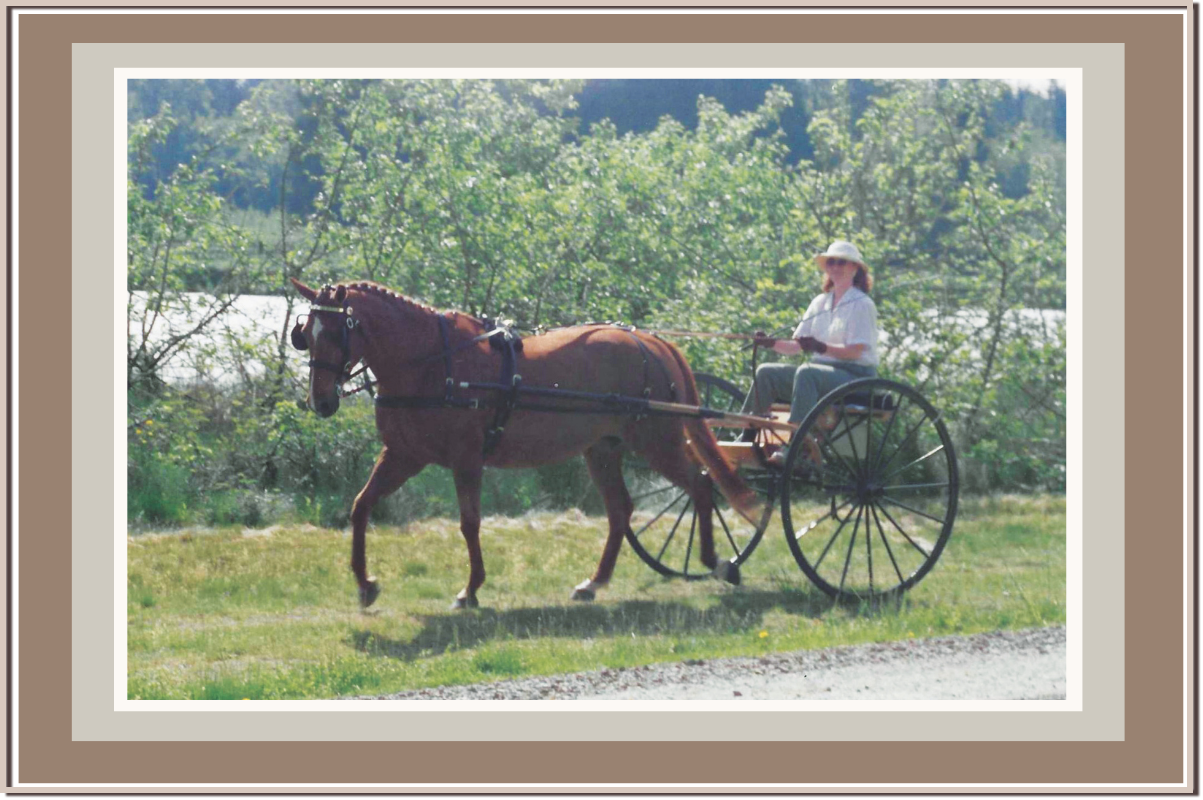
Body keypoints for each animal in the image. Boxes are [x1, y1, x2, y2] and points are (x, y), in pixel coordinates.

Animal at [288, 278, 763, 609]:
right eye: (305, 334)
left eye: (338, 331)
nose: (321, 401)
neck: (431, 361)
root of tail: (650, 341)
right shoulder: (404, 456)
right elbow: (361, 506)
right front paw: (365, 584)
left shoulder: (465, 458)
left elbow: (470, 523)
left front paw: (471, 589)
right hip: (603, 448)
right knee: (621, 511)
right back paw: (594, 583)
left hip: (657, 441)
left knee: (700, 485)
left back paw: (718, 562)